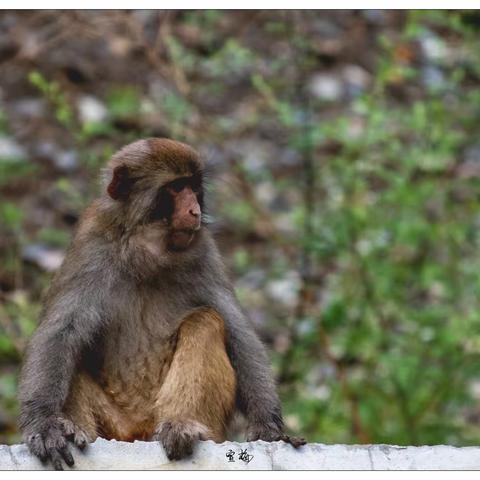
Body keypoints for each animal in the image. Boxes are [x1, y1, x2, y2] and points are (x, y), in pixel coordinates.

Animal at [18, 138, 306, 468]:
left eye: (194, 187)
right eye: (176, 187)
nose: (194, 209)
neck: (147, 250)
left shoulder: (203, 252)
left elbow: (237, 331)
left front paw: (268, 427)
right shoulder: (91, 247)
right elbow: (61, 333)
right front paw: (45, 425)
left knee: (206, 320)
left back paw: (182, 427)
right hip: (116, 427)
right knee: (75, 348)